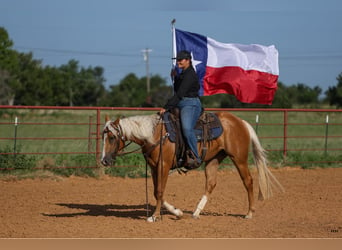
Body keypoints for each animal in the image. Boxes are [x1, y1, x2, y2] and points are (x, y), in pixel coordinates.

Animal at [101, 111, 284, 223]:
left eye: (112, 137)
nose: (104, 161)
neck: (155, 135)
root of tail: (240, 122)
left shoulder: (163, 166)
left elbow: (159, 191)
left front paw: (154, 217)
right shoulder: (154, 167)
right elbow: (157, 192)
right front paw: (177, 212)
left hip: (238, 158)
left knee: (248, 181)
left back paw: (249, 213)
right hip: (213, 160)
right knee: (211, 184)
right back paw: (196, 213)